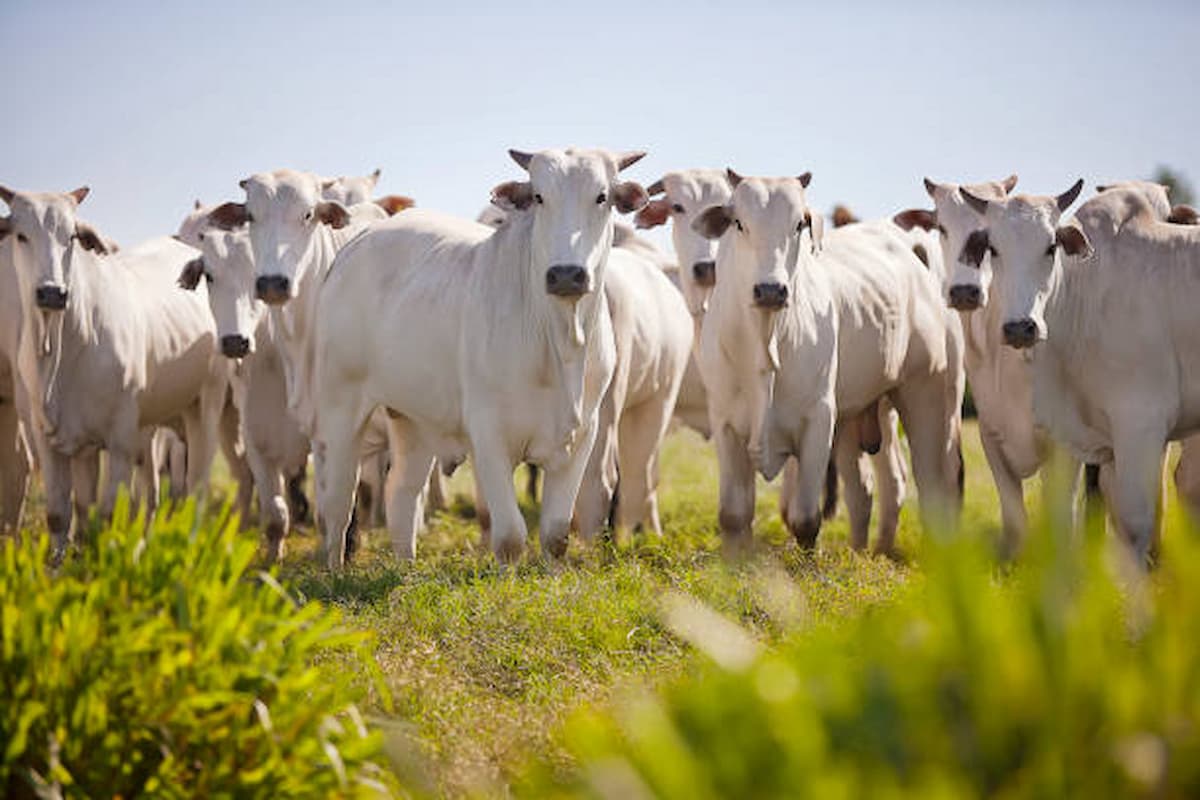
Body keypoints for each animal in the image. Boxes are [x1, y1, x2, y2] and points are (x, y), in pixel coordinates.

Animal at [0, 184, 228, 554]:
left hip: (206, 402)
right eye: (21, 235)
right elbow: (64, 514)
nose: (52, 292)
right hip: (150, 425)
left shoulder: (119, 439)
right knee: (152, 493)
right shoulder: (50, 438)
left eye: (72, 236)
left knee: (196, 487)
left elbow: (107, 515)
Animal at [309, 146, 648, 566]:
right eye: (539, 197)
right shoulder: (488, 435)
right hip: (341, 407)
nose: (566, 274)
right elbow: (510, 537)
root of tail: (359, 242)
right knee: (338, 504)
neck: (560, 341)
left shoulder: (581, 435)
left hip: (412, 418)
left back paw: (406, 566)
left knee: (401, 493)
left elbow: (555, 536)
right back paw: (335, 569)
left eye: (602, 197)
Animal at [696, 172, 964, 551]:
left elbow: (806, 520)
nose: (770, 290)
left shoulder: (819, 420)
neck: (765, 342)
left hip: (929, 395)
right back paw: (870, 551)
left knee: (934, 484)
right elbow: (734, 517)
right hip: (867, 412)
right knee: (874, 486)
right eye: (738, 223)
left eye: (799, 224)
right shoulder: (726, 423)